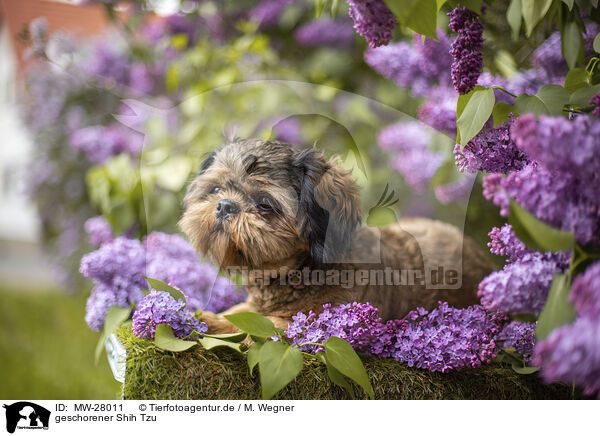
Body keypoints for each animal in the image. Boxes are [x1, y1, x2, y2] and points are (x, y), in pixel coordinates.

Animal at [180, 140, 494, 334]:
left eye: (265, 204)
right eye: (216, 190)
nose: (225, 206)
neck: (300, 271)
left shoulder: (320, 323)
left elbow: (260, 324)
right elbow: (238, 312)